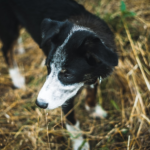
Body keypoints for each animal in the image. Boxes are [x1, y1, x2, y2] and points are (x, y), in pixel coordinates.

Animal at [0, 0, 118, 149]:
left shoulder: (96, 74)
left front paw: (93, 109)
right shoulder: (66, 99)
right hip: (8, 24)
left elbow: (92, 92)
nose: (40, 104)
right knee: (6, 50)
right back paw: (17, 79)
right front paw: (80, 144)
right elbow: (72, 123)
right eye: (48, 67)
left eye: (67, 75)